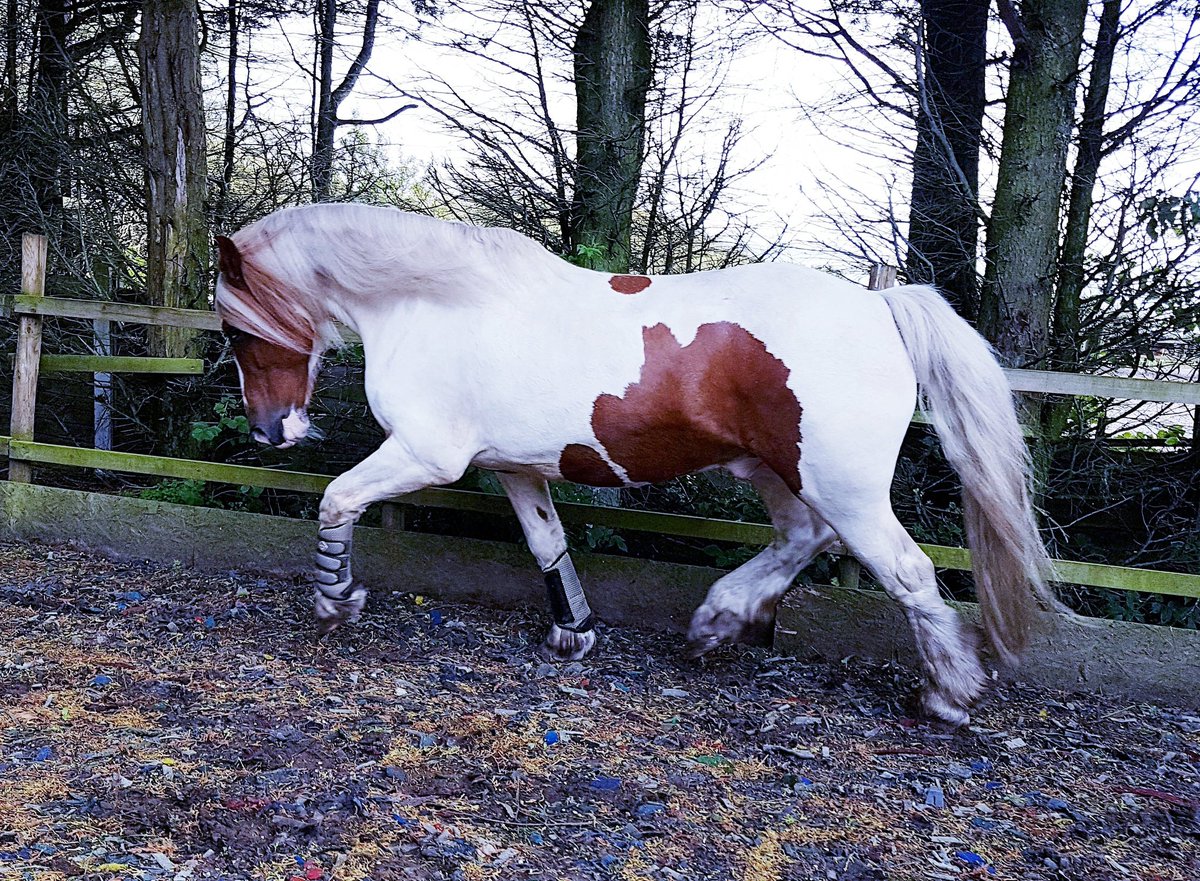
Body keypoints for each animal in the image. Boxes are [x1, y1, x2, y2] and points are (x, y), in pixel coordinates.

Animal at [213, 202, 1055, 726]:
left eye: (239, 327)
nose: (270, 431)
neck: (433, 303)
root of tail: (880, 305)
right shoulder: (515, 468)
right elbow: (547, 543)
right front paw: (575, 633)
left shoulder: (425, 454)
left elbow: (335, 499)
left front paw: (337, 600)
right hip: (773, 472)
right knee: (802, 539)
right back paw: (716, 621)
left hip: (840, 487)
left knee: (905, 571)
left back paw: (946, 696)